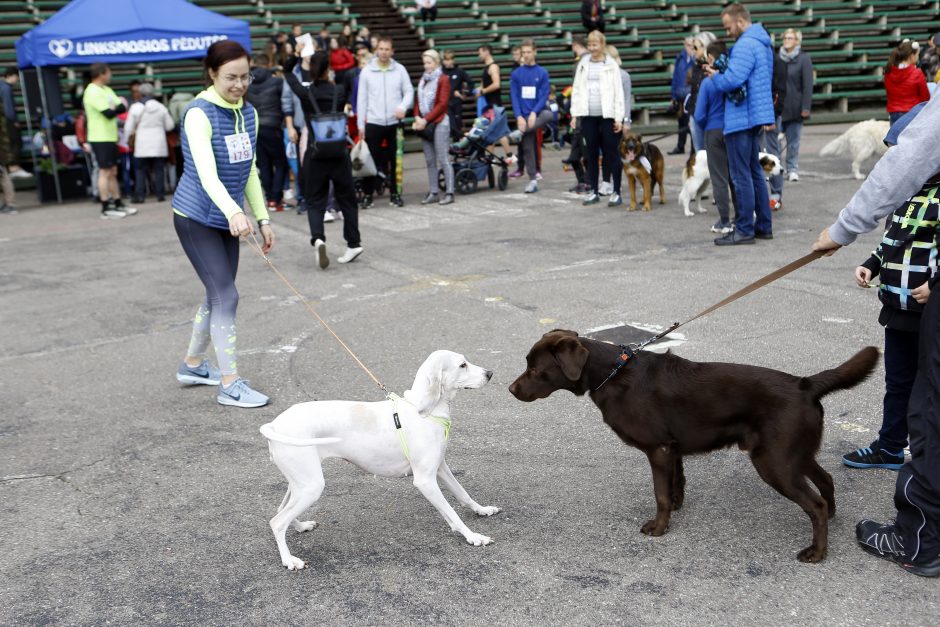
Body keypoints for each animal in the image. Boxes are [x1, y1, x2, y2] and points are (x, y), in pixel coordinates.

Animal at [258, 350, 500, 572]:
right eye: (462, 365)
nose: (490, 373)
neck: (424, 409)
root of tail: (274, 425)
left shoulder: (441, 468)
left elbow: (463, 495)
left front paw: (482, 510)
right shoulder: (425, 481)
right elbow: (453, 514)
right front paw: (473, 537)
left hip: (299, 484)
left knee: (280, 510)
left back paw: (301, 526)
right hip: (311, 486)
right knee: (277, 522)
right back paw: (289, 560)